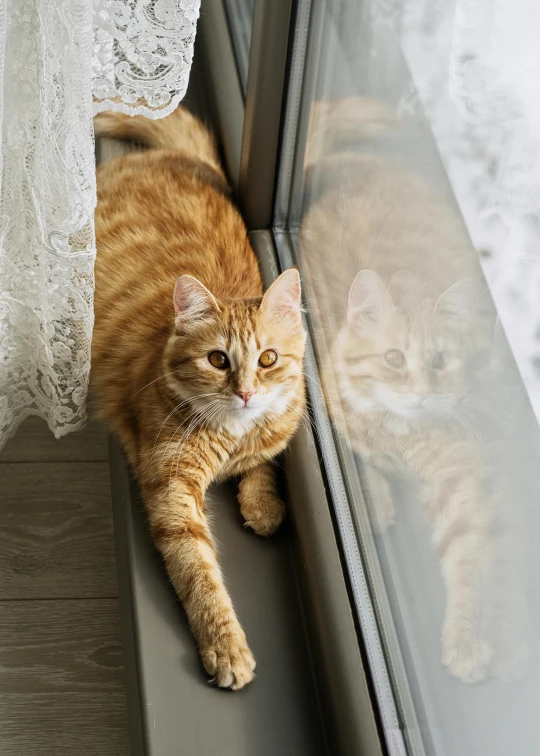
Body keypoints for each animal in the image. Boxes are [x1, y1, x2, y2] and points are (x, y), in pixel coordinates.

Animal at [90, 106, 306, 692]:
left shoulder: (271, 434)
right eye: (218, 360)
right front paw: (227, 646)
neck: (231, 438)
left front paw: (264, 504)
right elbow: (200, 574)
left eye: (268, 359)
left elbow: (265, 462)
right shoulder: (171, 489)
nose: (247, 391)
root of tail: (182, 159)